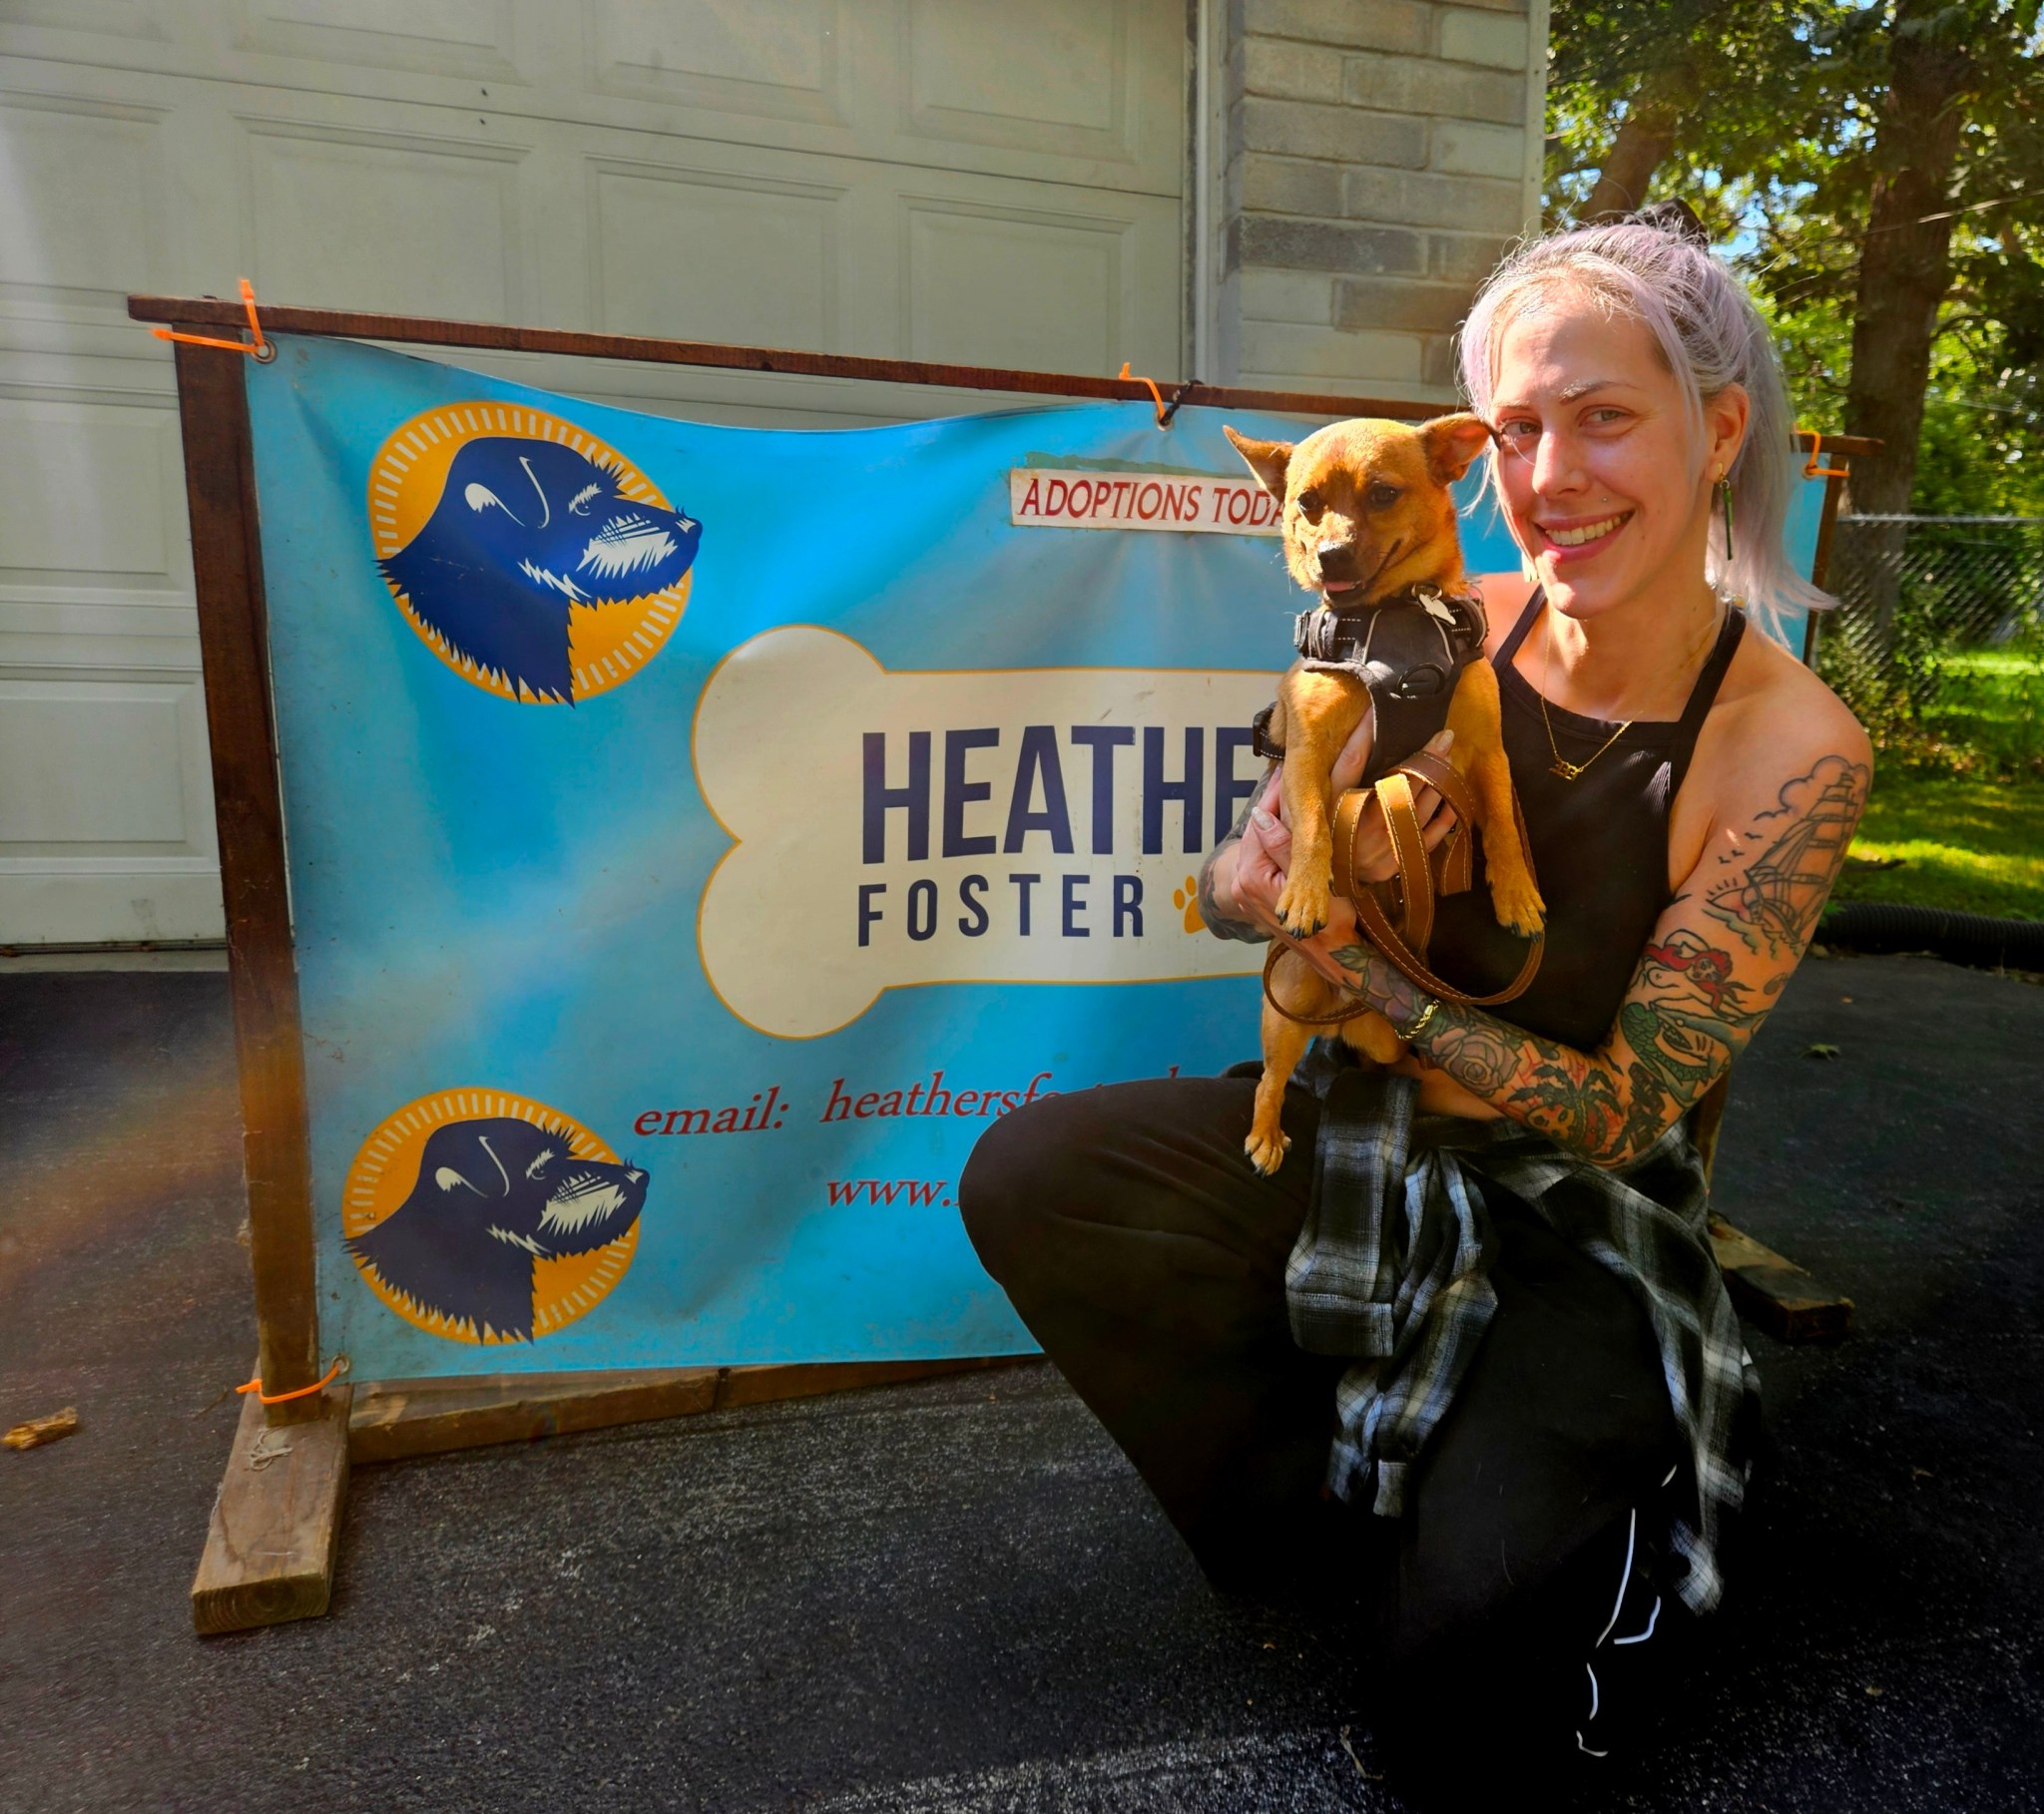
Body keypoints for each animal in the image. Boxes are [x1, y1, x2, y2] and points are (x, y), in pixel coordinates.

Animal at [1222, 415, 1544, 1175]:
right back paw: (1267, 1135)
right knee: (1272, 1076)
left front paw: (1517, 894)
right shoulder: (1308, 758)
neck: (1393, 630)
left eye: (1383, 494)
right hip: (1286, 1007)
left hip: (1383, 1038)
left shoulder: (1485, 752)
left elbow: (1501, 823)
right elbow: (1315, 822)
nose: (1331, 555)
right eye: (1307, 503)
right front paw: (1305, 889)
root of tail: (1353, 1006)